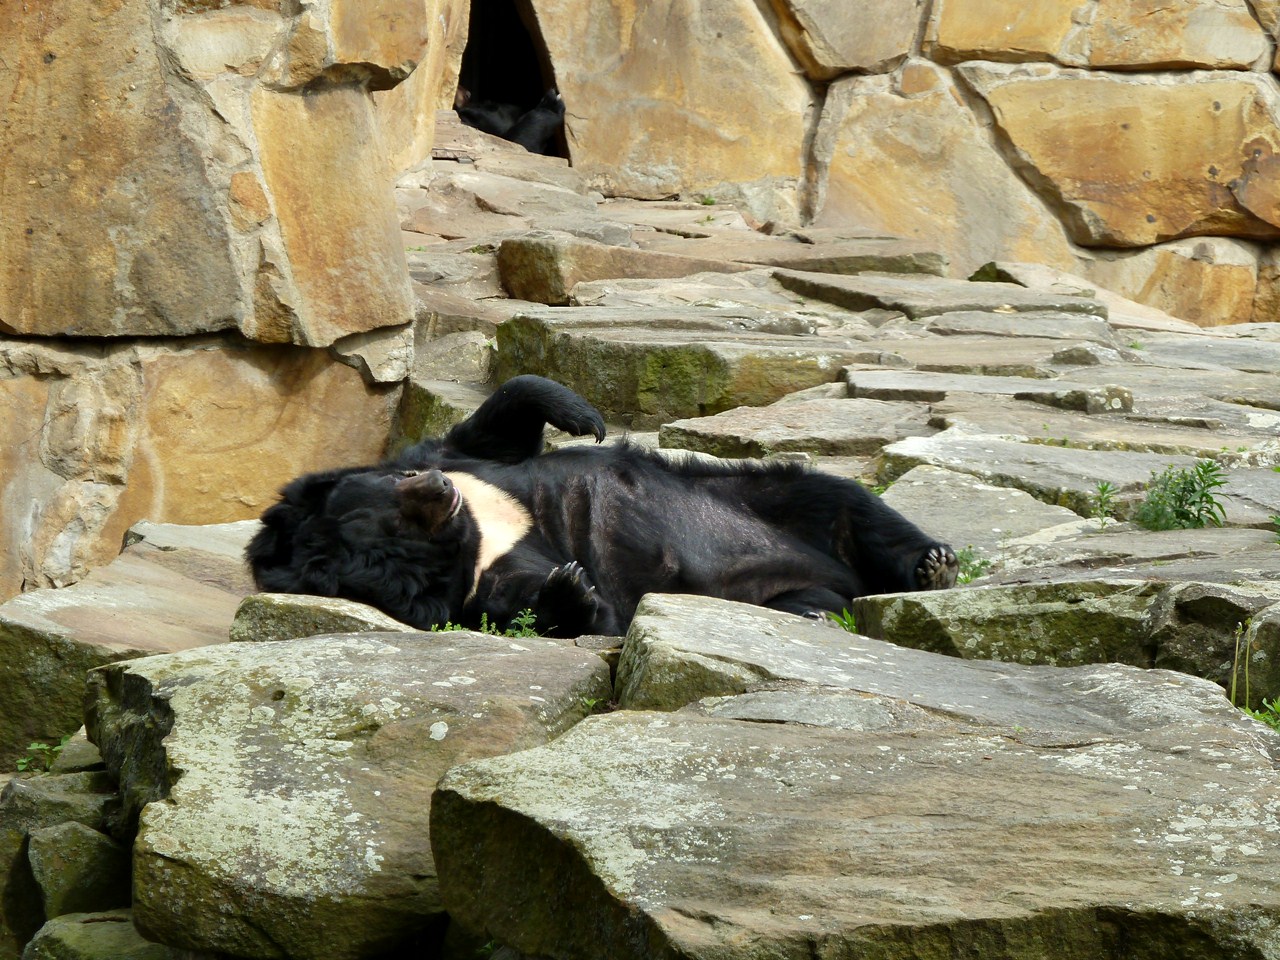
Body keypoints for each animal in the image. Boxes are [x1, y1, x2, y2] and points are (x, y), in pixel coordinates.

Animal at [246, 375, 957, 638]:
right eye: (401, 528)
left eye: (401, 486)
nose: (437, 491)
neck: (479, 527)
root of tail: (832, 579)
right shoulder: (474, 582)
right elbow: (529, 606)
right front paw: (571, 590)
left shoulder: (467, 462)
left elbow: (496, 427)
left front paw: (581, 416)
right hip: (768, 590)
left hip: (761, 498)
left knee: (844, 502)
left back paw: (932, 562)